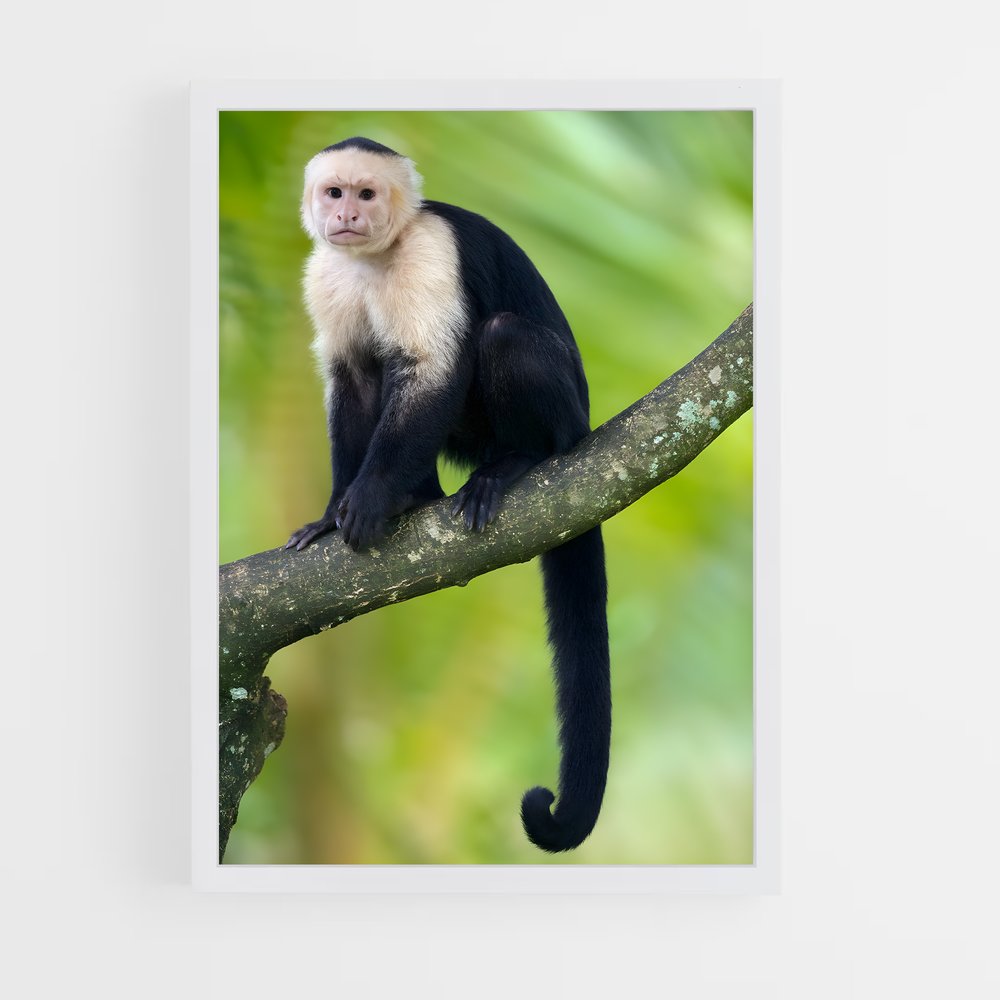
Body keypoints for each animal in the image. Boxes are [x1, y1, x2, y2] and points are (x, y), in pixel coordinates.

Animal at [285, 137, 610, 853]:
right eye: (334, 193)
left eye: (367, 194)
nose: (346, 215)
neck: (375, 258)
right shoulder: (325, 274)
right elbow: (352, 376)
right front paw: (335, 513)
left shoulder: (431, 251)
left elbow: (433, 368)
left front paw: (370, 498)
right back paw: (419, 494)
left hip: (566, 417)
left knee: (500, 335)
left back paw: (518, 461)